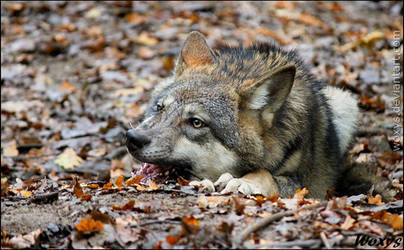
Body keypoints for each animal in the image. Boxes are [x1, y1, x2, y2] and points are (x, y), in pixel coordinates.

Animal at [126, 31, 360, 199]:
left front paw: (243, 182)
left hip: (346, 101)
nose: (132, 138)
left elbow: (266, 174)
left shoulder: (311, 187)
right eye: (160, 108)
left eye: (196, 123)